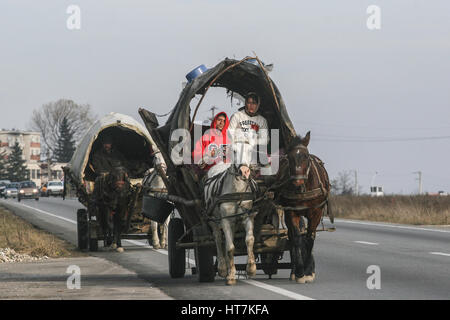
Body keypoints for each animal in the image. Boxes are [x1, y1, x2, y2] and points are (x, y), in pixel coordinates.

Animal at [274, 131, 330, 284]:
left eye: (306, 156)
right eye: (289, 157)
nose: (297, 181)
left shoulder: (316, 212)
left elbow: (309, 239)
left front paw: (308, 271)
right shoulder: (291, 211)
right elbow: (297, 238)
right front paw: (299, 272)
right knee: (293, 237)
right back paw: (294, 271)